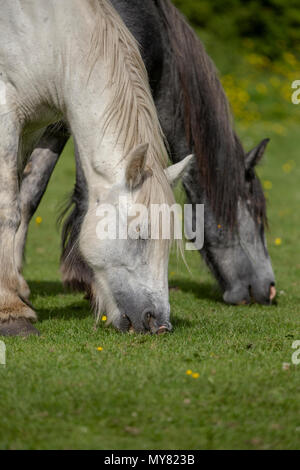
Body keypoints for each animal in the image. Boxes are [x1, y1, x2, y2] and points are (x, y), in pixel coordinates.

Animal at [0, 0, 192, 338]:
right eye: (140, 234)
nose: (159, 324)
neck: (48, 34)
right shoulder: (6, 115)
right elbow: (8, 210)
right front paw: (11, 312)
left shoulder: (29, 129)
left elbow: (21, 201)